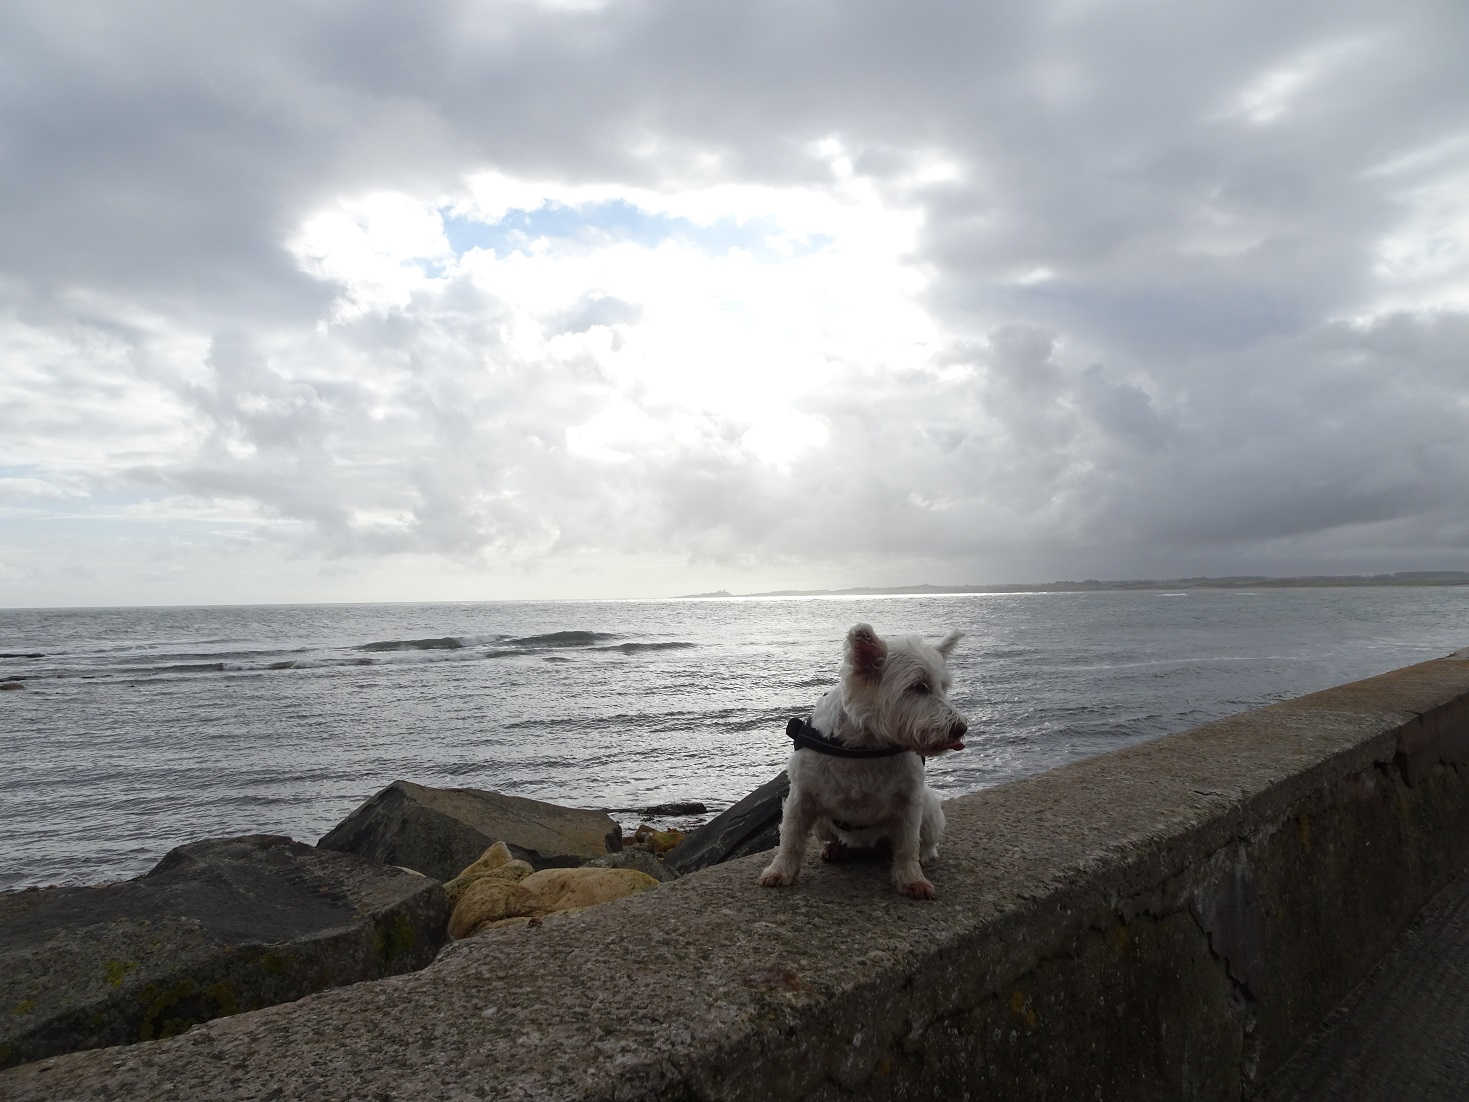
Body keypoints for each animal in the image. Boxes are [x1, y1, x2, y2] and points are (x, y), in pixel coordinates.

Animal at [763, 625, 969, 899]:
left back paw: (924, 856)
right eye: (919, 687)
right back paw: (835, 848)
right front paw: (779, 871)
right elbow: (791, 837)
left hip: (929, 809)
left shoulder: (909, 801)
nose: (961, 728)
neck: (865, 745)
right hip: (822, 823)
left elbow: (908, 845)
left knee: (924, 842)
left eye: (943, 687)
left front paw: (912, 879)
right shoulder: (802, 796)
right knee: (830, 836)